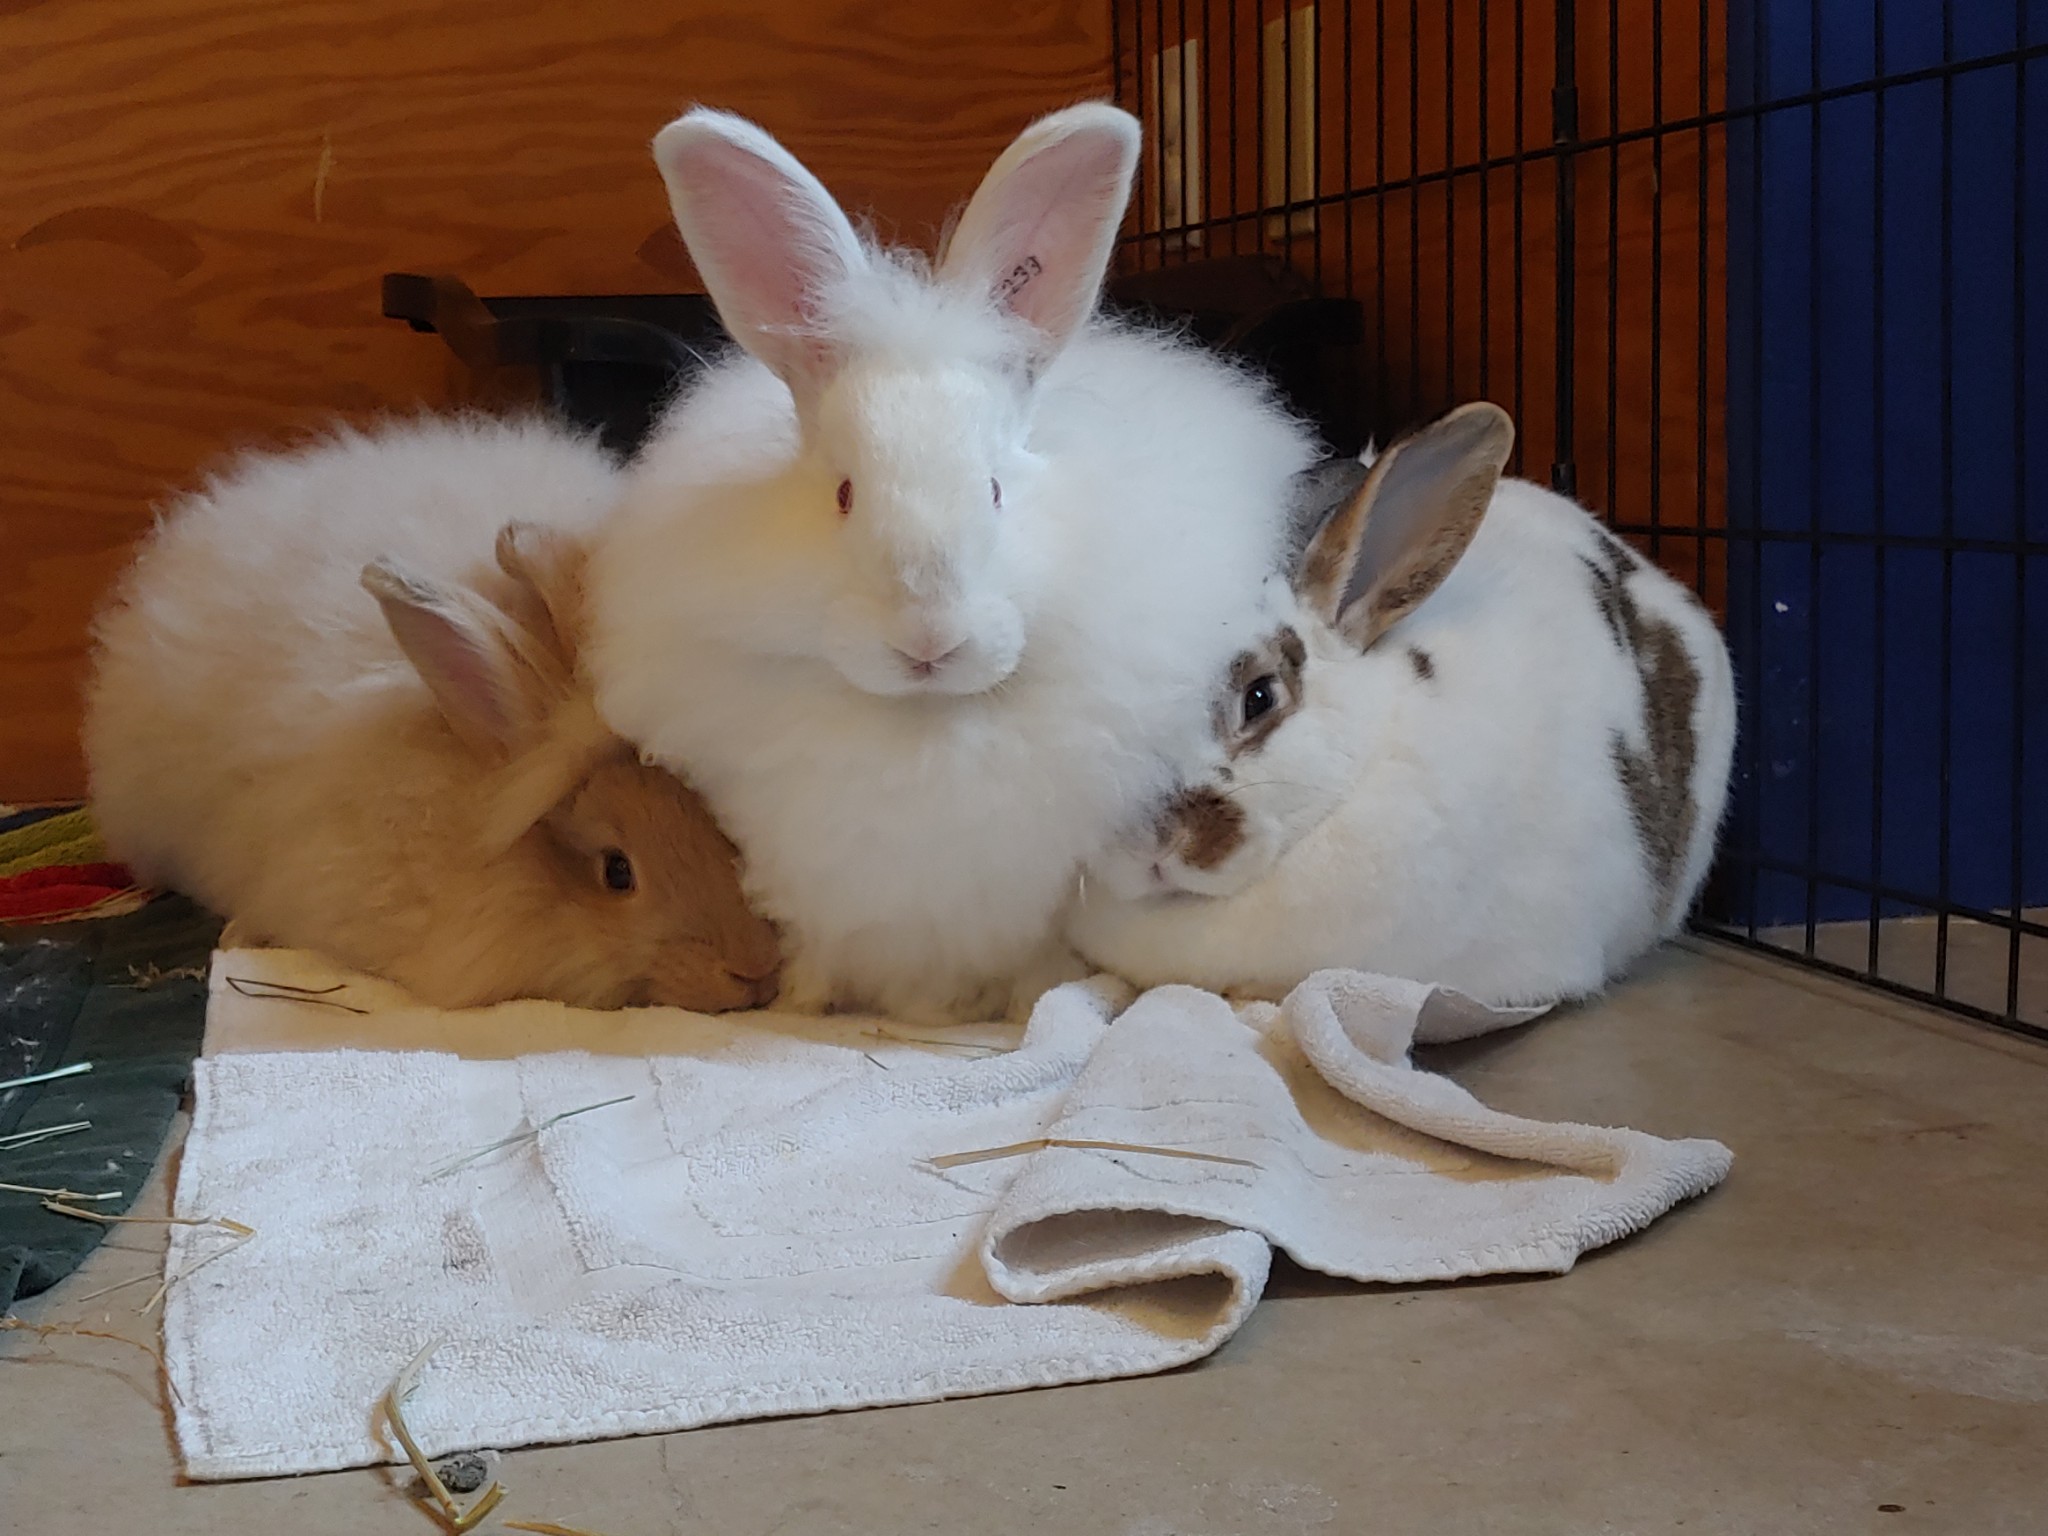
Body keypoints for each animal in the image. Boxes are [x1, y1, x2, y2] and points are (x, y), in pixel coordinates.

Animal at [585, 103, 1320, 1022]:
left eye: (996, 489)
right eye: (844, 495)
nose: (928, 642)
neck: (929, 726)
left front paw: (1030, 1006)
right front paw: (802, 1007)